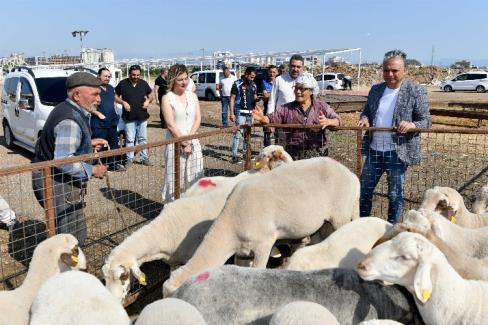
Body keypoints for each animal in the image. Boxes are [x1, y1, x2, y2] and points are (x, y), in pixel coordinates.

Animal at [102, 144, 294, 302]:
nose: (113, 301)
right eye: (104, 278)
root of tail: (262, 170)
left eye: (123, 276)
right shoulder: (174, 262)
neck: (166, 227)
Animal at [166, 156, 360, 294]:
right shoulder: (242, 252)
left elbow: (259, 269)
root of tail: (352, 177)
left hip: (340, 215)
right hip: (328, 221)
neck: (230, 227)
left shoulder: (264, 244)